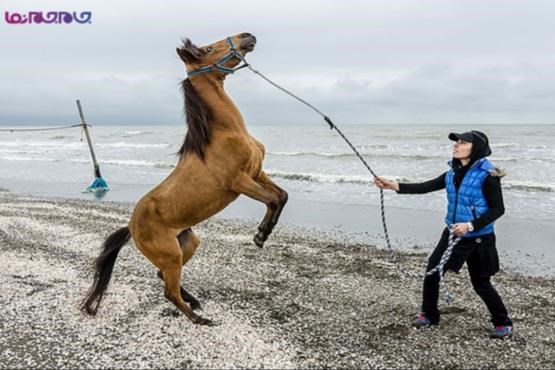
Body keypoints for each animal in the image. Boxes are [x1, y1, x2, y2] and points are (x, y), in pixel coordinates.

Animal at [83, 33, 292, 326]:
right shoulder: (239, 182)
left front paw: (264, 233)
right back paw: (199, 318)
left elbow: (282, 196)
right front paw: (261, 235)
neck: (225, 133)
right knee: (168, 291)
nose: (247, 36)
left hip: (187, 244)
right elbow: (272, 200)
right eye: (207, 49)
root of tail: (131, 226)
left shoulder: (256, 173)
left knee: (163, 277)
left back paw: (194, 302)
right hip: (171, 255)